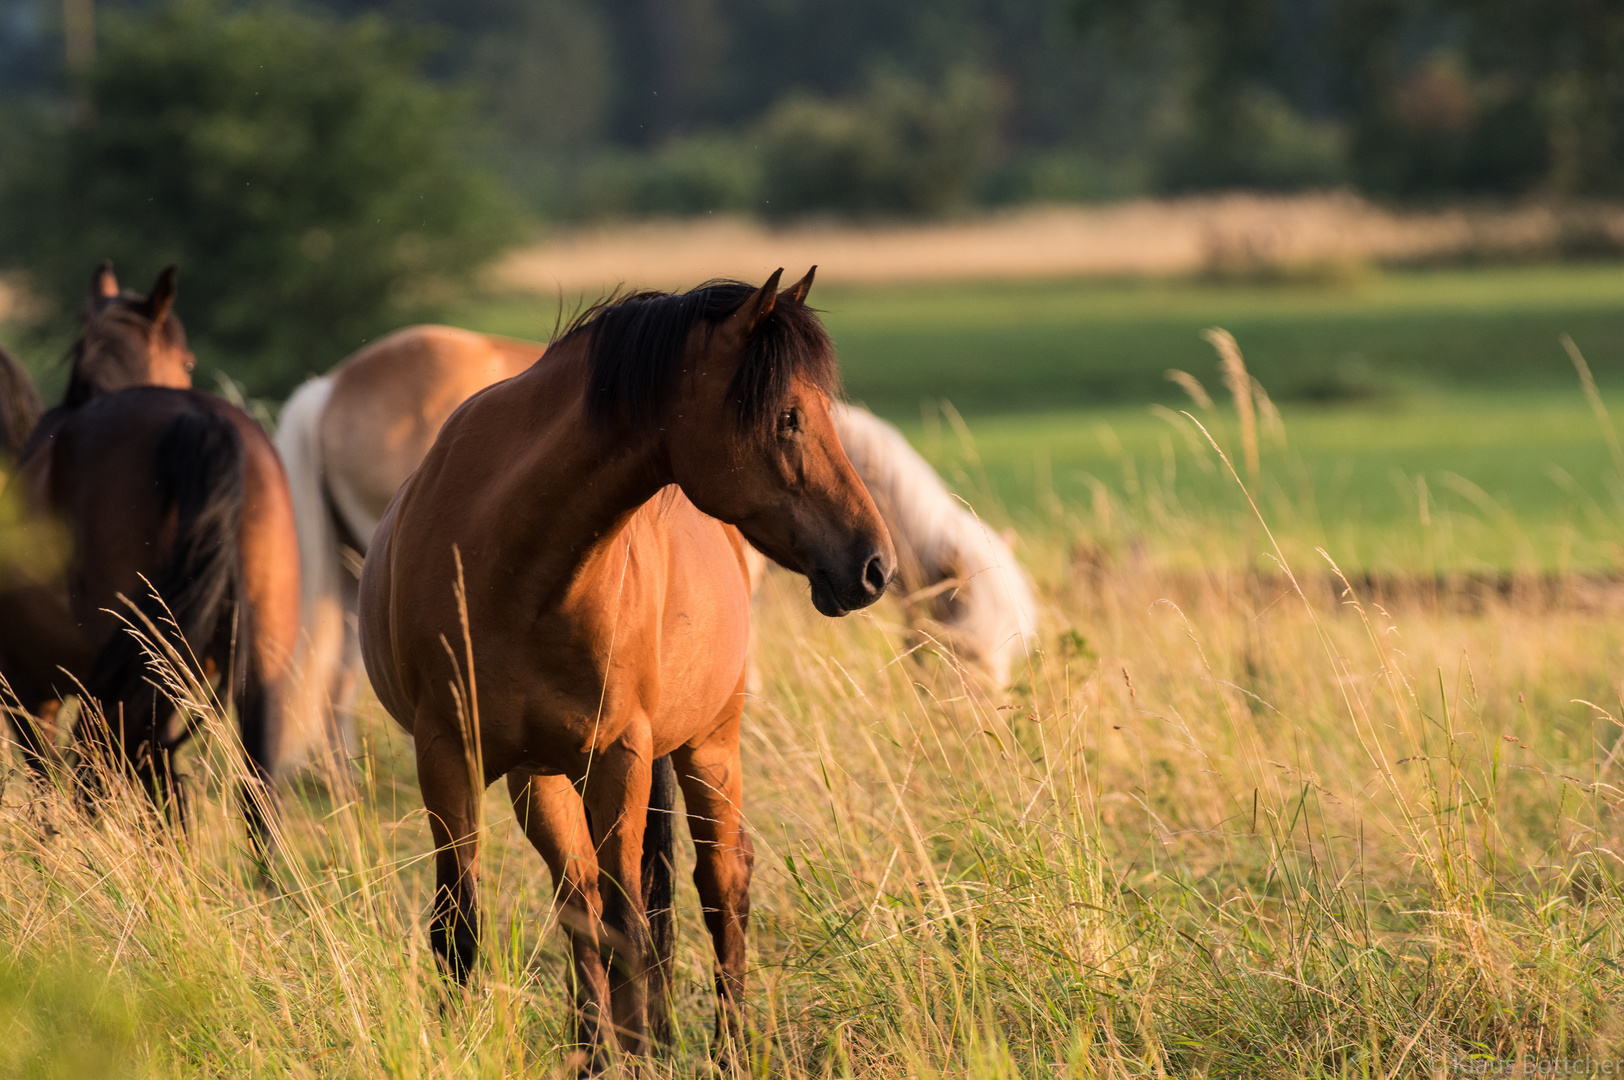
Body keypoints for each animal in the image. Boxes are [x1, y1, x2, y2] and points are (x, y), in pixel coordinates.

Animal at [0, 263, 302, 851]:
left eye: (186, 361)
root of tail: (199, 418)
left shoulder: (27, 691)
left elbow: (45, 790)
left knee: (157, 790)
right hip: (256, 663)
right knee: (255, 797)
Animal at [358, 269, 902, 1058]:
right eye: (790, 418)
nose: (875, 566)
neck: (508, 560)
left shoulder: (618, 756)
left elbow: (631, 929)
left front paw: (643, 1052)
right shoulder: (448, 754)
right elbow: (461, 927)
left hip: (708, 744)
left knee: (720, 883)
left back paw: (726, 1046)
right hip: (542, 777)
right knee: (579, 900)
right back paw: (597, 1050)